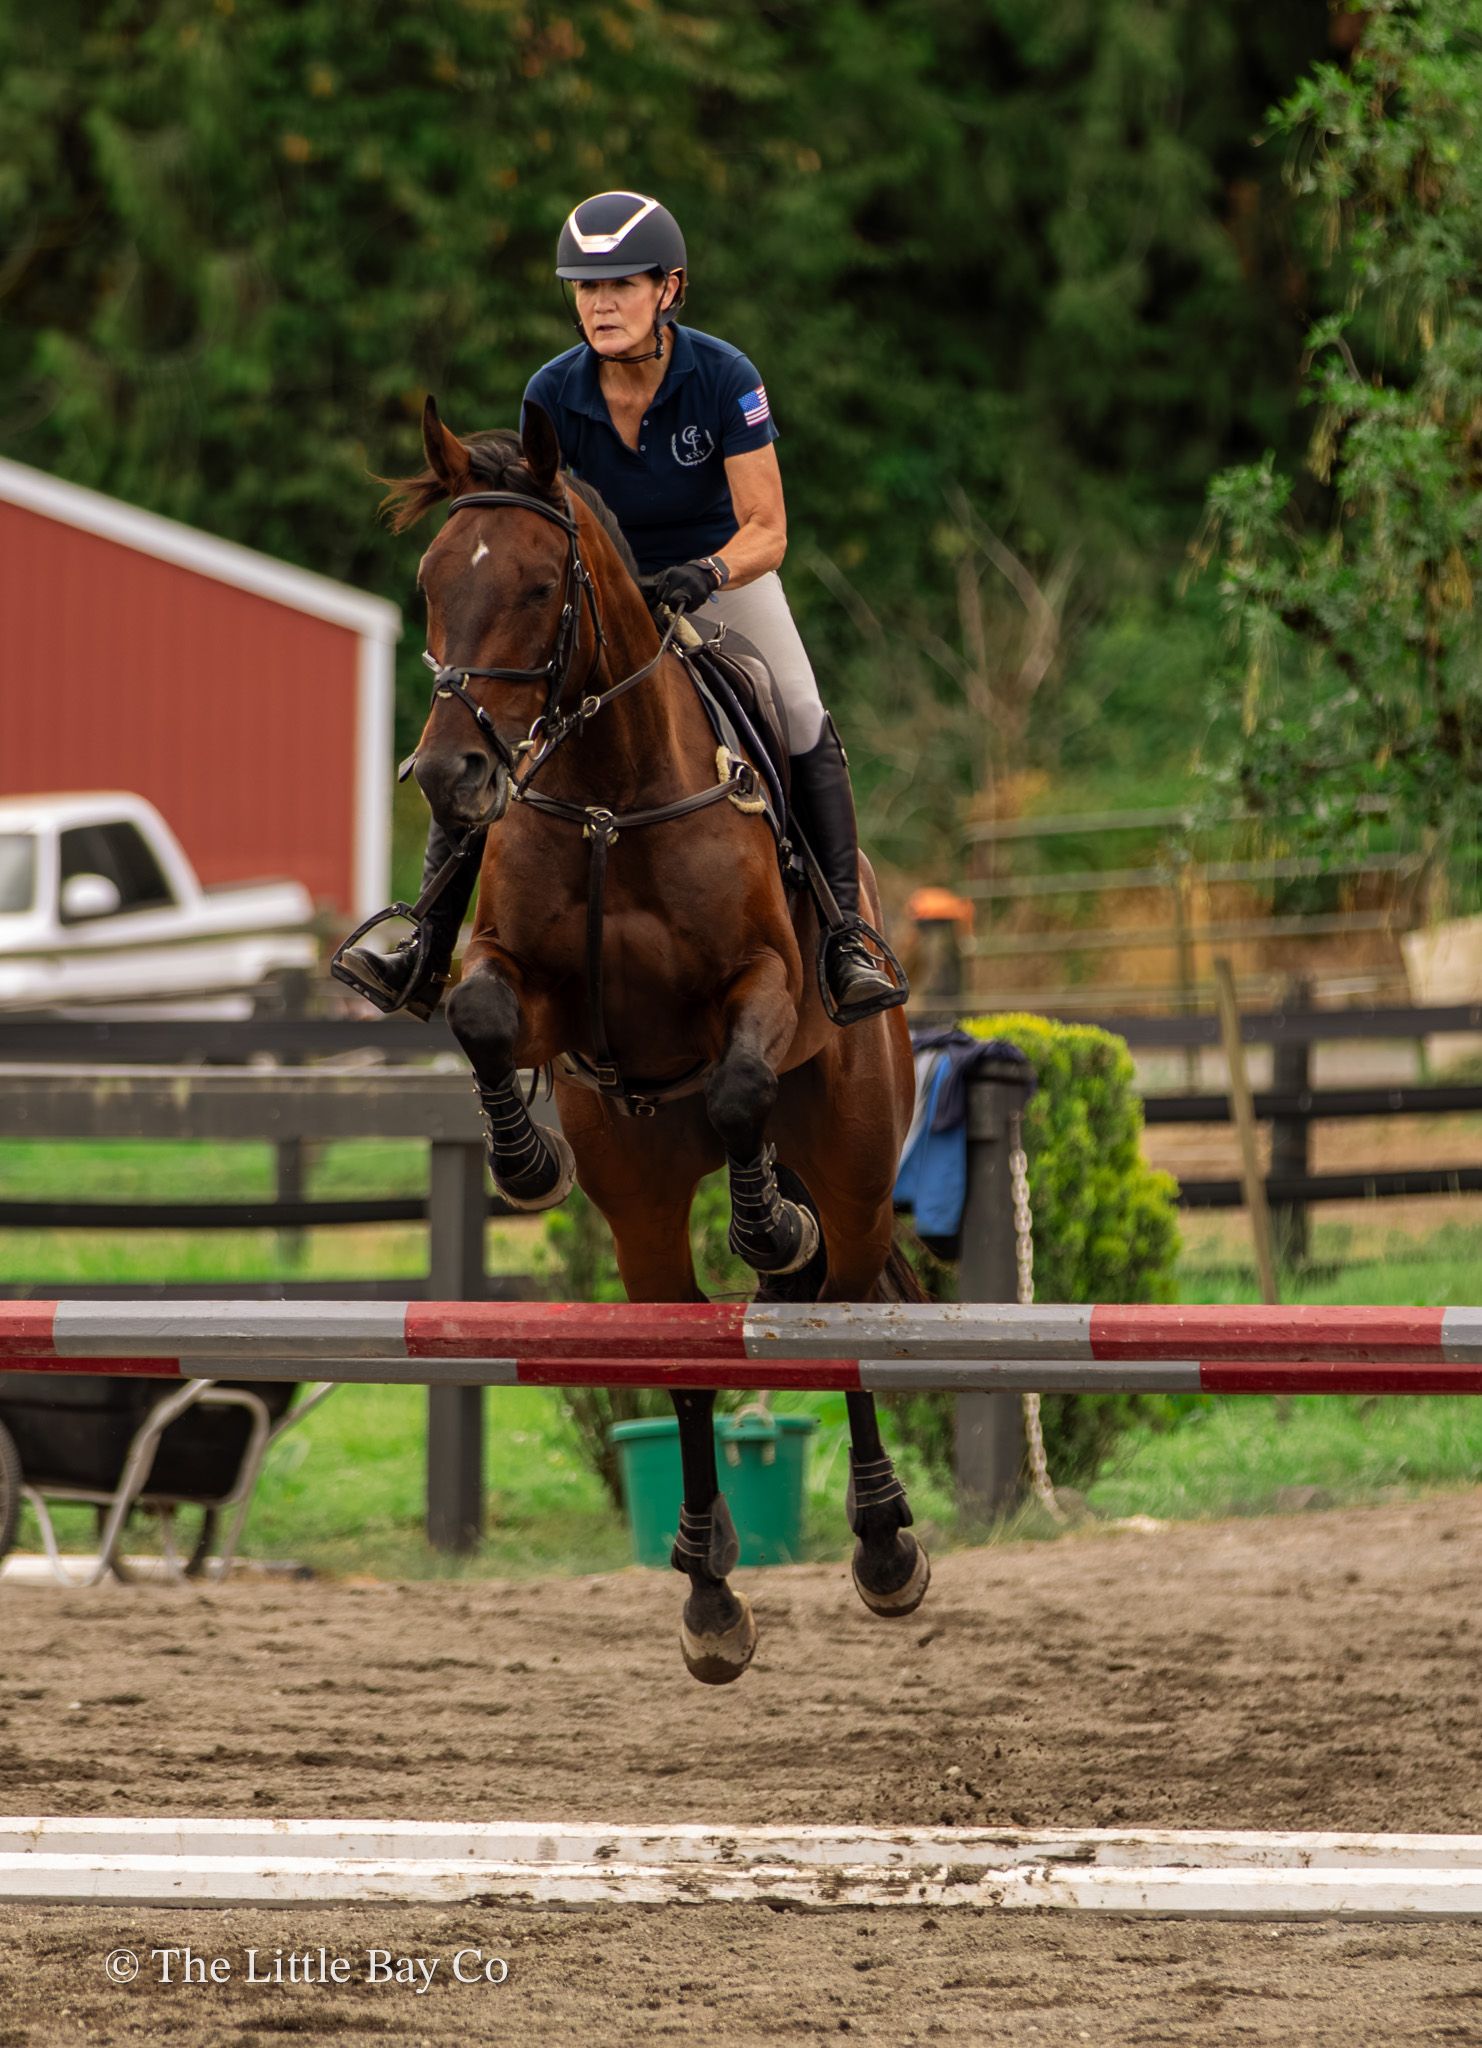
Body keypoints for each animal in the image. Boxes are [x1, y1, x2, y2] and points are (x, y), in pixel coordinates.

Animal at [386, 398, 927, 1684]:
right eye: (431, 580)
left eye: (540, 587)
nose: (448, 774)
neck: (605, 793)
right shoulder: (533, 990)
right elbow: (482, 1015)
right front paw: (526, 1161)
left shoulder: (765, 985)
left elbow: (735, 1084)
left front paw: (764, 1222)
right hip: (637, 1201)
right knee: (684, 1353)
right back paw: (710, 1591)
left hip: (855, 1153)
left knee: (840, 1305)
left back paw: (883, 1539)